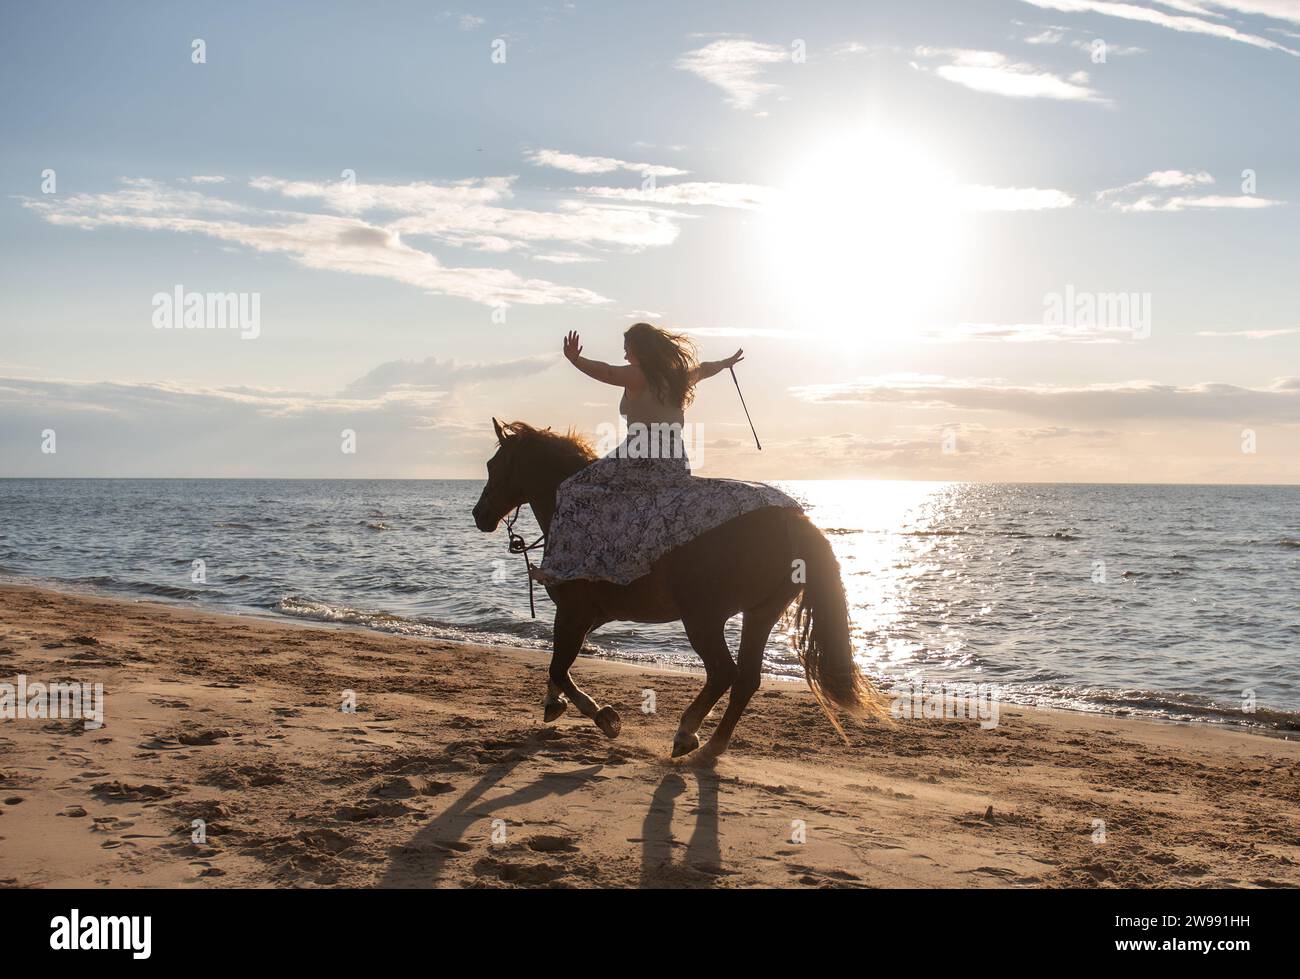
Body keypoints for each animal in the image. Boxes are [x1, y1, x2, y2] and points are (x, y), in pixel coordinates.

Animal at [472, 418, 886, 760]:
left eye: (493, 466)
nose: (479, 515)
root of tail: (794, 520)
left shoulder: (574, 613)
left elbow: (559, 666)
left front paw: (601, 715)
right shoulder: (589, 617)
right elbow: (561, 664)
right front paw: (555, 703)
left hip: (703, 618)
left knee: (724, 672)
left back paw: (687, 733)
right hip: (760, 613)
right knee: (746, 679)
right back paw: (713, 744)